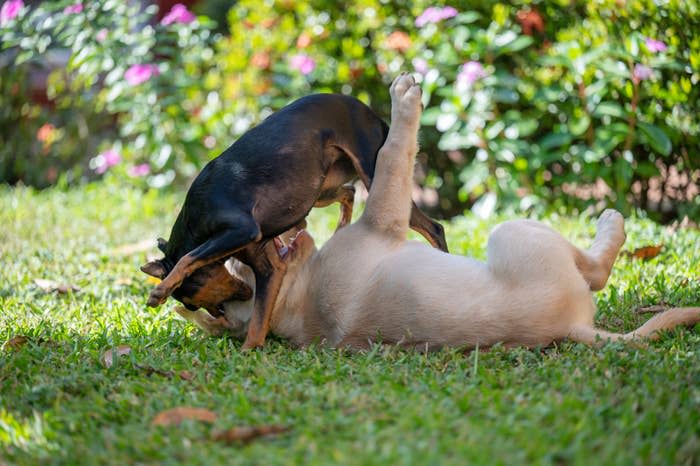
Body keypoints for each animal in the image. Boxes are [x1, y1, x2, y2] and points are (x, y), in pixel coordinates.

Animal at [142, 91, 446, 348]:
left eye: (191, 303)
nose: (220, 311)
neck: (193, 223)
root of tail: (365, 109)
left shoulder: (242, 231)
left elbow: (187, 258)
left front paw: (159, 292)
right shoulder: (271, 266)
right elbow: (260, 319)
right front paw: (251, 351)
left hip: (368, 169)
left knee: (435, 227)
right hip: (318, 188)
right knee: (348, 192)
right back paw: (341, 227)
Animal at [178, 73, 700, 350]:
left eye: (232, 262)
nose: (277, 228)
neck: (297, 299)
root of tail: (575, 327)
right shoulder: (383, 216)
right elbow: (395, 153)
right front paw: (404, 99)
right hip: (512, 233)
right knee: (597, 270)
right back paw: (612, 223)